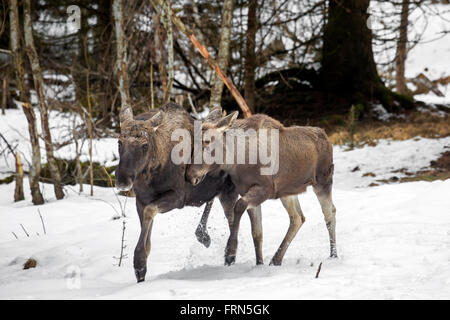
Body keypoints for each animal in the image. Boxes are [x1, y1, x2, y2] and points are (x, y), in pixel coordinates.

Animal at [185, 111, 336, 266]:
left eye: (207, 142)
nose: (189, 175)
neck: (237, 161)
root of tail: (326, 137)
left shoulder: (266, 189)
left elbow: (239, 207)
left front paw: (230, 252)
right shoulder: (248, 191)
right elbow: (257, 233)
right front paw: (259, 263)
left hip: (323, 181)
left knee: (330, 213)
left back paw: (333, 255)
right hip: (287, 191)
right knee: (298, 218)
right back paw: (276, 259)